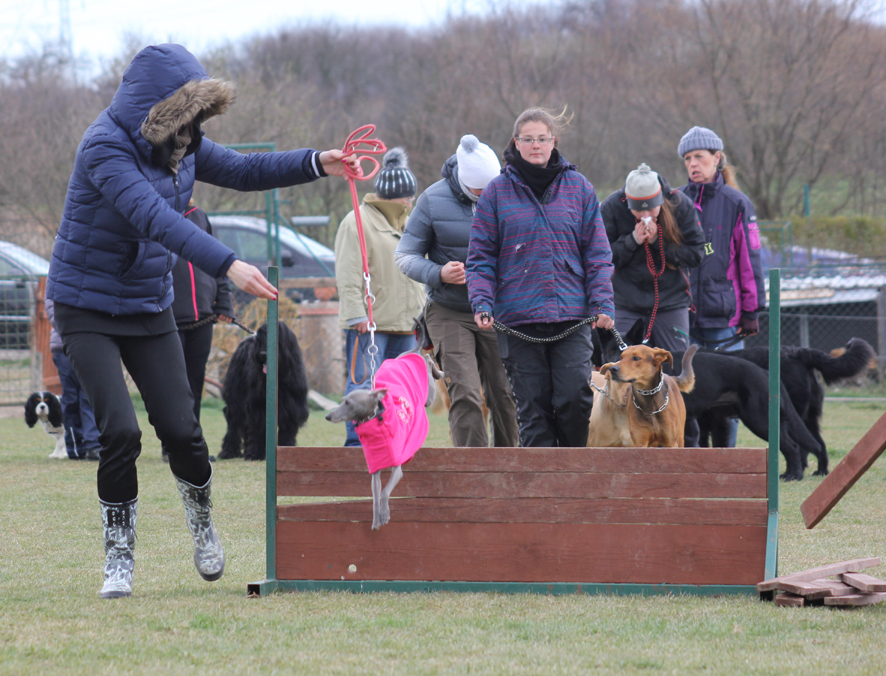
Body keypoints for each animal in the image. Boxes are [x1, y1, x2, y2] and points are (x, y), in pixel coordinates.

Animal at [220, 320, 310, 460]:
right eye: (260, 340)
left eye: (276, 339)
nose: (262, 354)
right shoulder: (258, 407)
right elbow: (257, 429)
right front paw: (255, 453)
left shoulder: (292, 409)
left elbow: (287, 431)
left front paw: (286, 450)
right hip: (235, 398)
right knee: (233, 421)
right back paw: (229, 451)